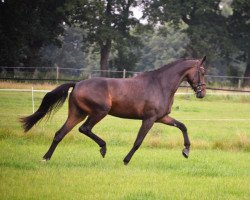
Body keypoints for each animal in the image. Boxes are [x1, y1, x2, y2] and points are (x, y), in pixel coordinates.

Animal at [20, 55, 207, 164]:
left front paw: (186, 150)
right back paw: (103, 148)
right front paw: (126, 160)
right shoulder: (149, 119)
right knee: (85, 129)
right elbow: (138, 141)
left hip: (77, 113)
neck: (160, 85)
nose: (202, 93)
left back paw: (46, 158)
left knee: (60, 134)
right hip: (99, 112)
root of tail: (78, 84)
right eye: (203, 72)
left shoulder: (162, 118)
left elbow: (182, 126)